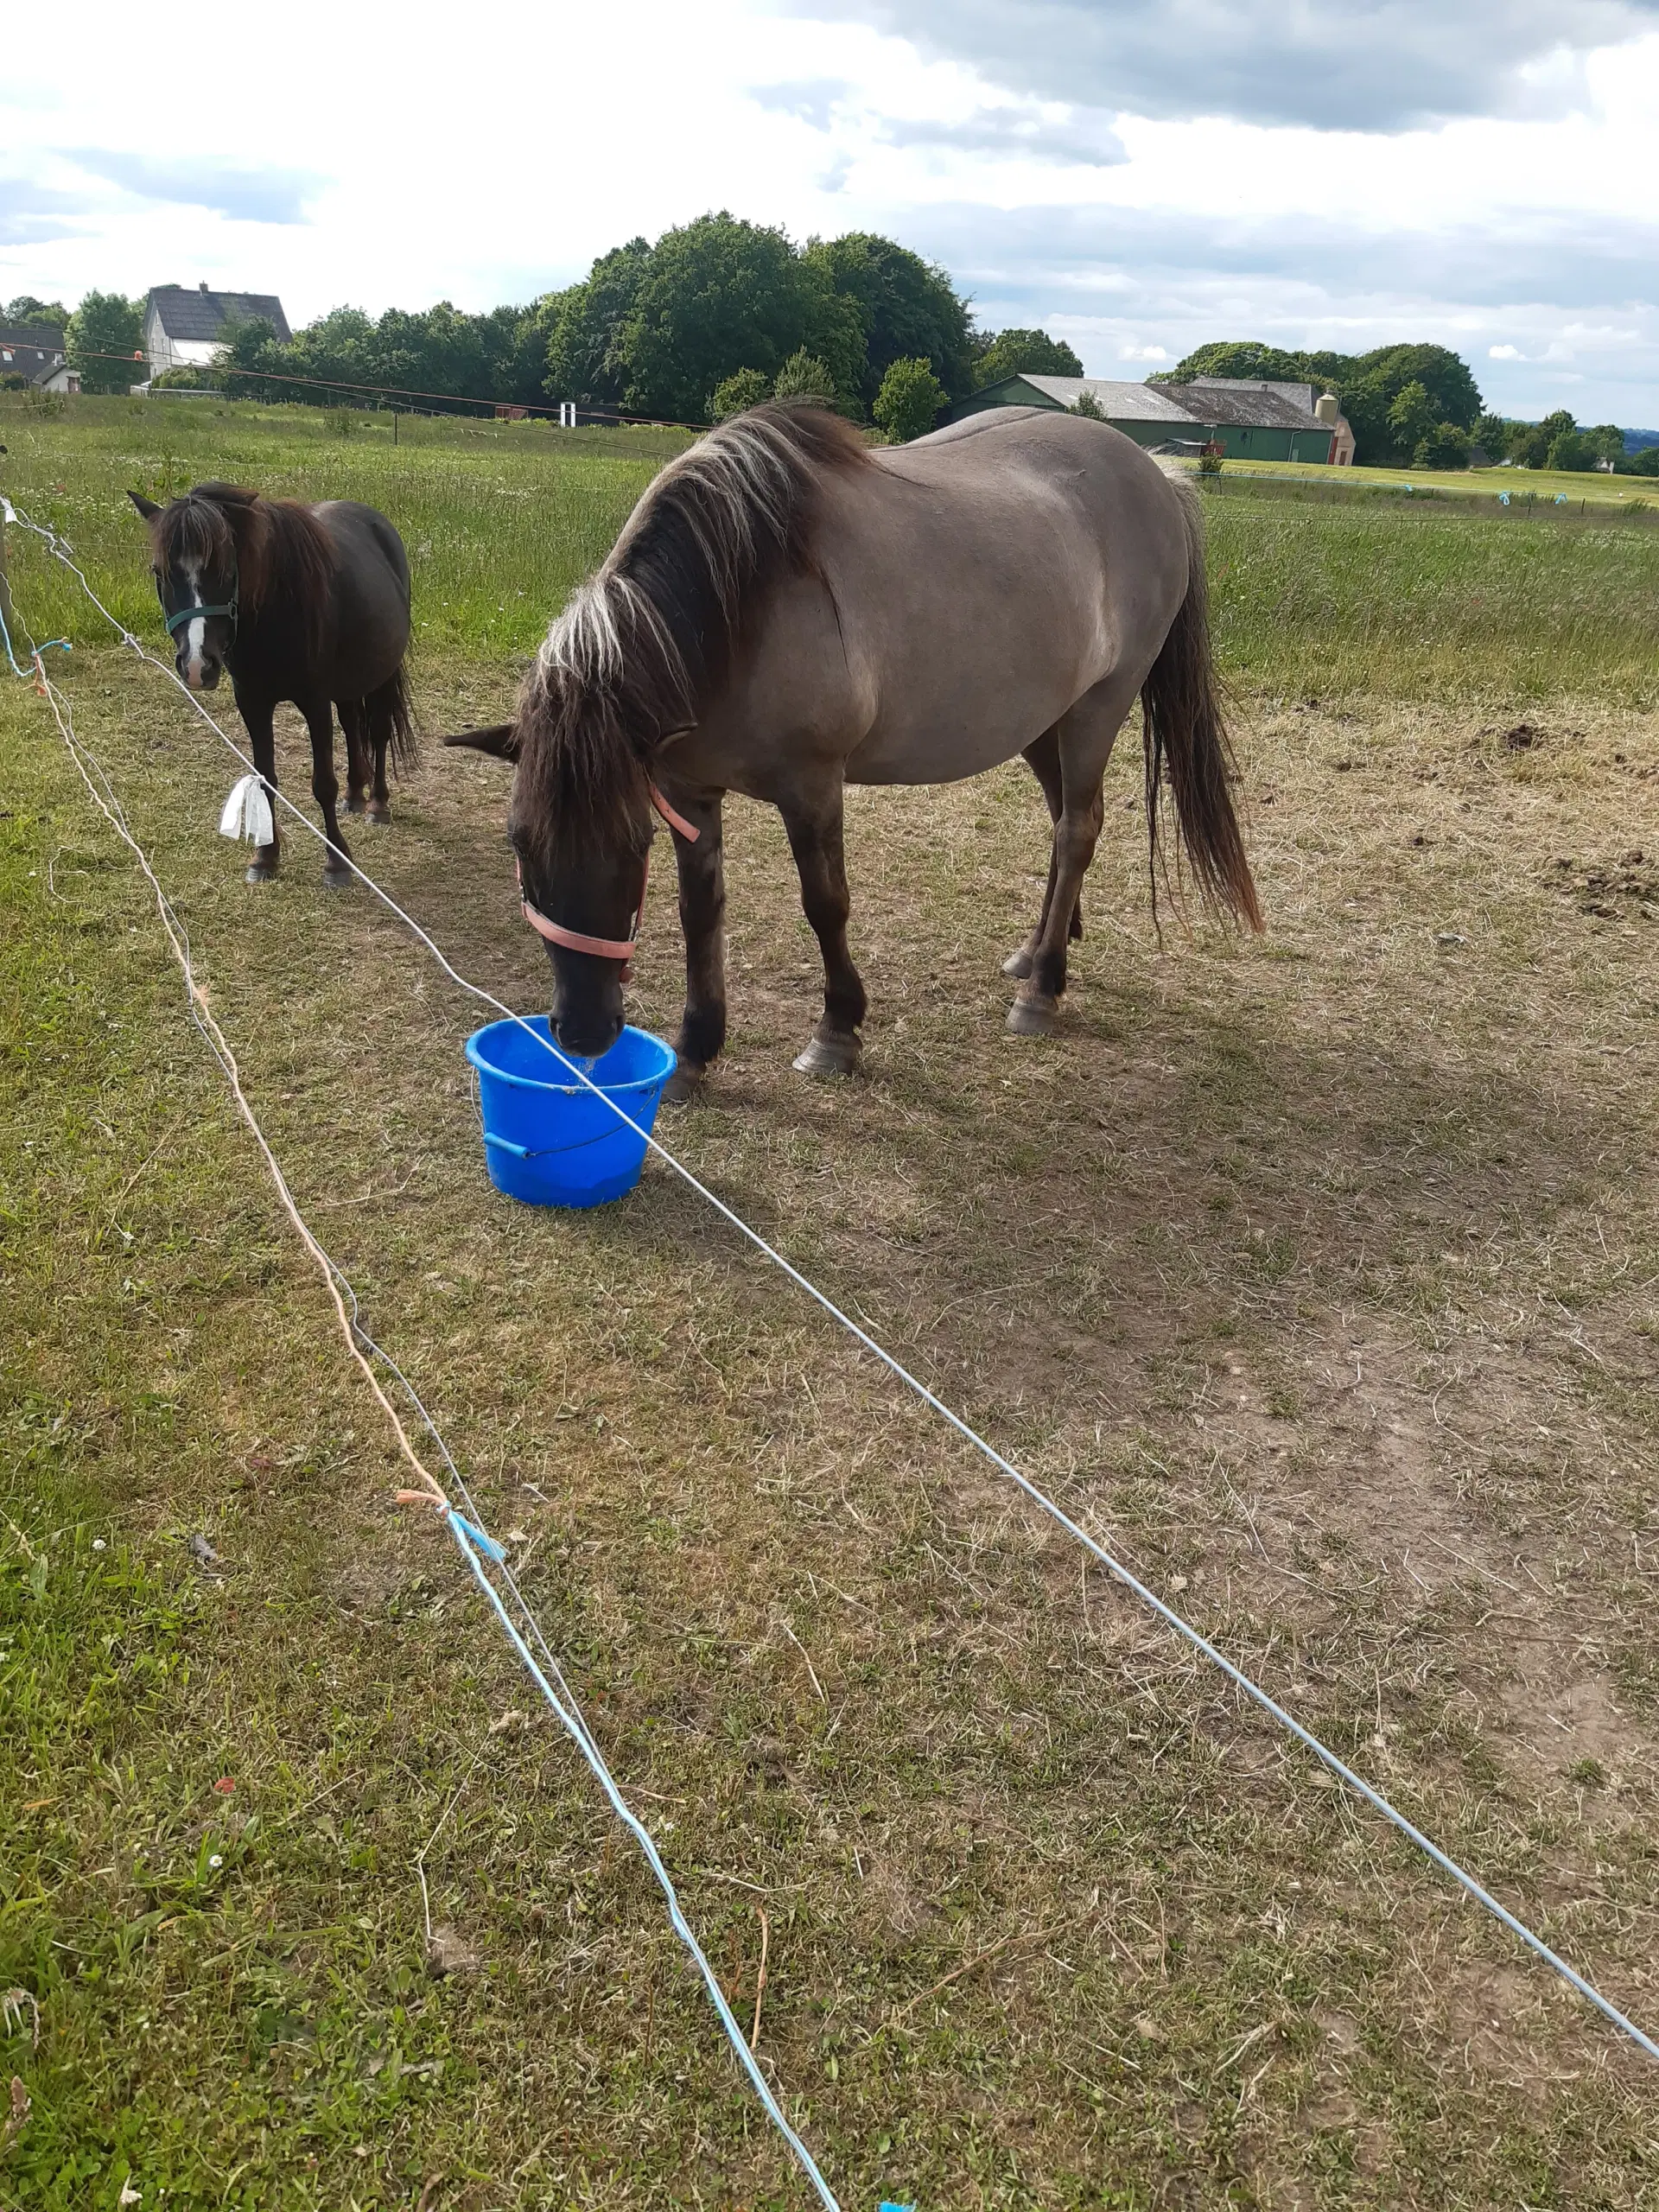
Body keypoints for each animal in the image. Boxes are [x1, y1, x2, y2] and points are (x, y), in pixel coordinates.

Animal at [130, 484, 416, 880]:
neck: (277, 611)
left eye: (225, 569)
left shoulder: (315, 703)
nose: (196, 665)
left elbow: (323, 784)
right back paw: (355, 795)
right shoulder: (252, 703)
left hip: (382, 676)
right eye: (160, 572)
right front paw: (265, 856)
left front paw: (337, 860)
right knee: (351, 725)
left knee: (378, 732)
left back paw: (377, 804)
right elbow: (265, 778)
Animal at [442, 407, 1256, 1096]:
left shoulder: (811, 786)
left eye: (630, 844)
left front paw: (835, 1034)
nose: (583, 1032)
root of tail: (1156, 475)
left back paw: (1041, 991)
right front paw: (697, 1047)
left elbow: (825, 905)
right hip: (1040, 722)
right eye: (519, 842)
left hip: (1099, 708)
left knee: (1077, 830)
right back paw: (1037, 954)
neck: (740, 604)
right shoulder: (685, 789)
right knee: (1066, 825)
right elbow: (700, 912)